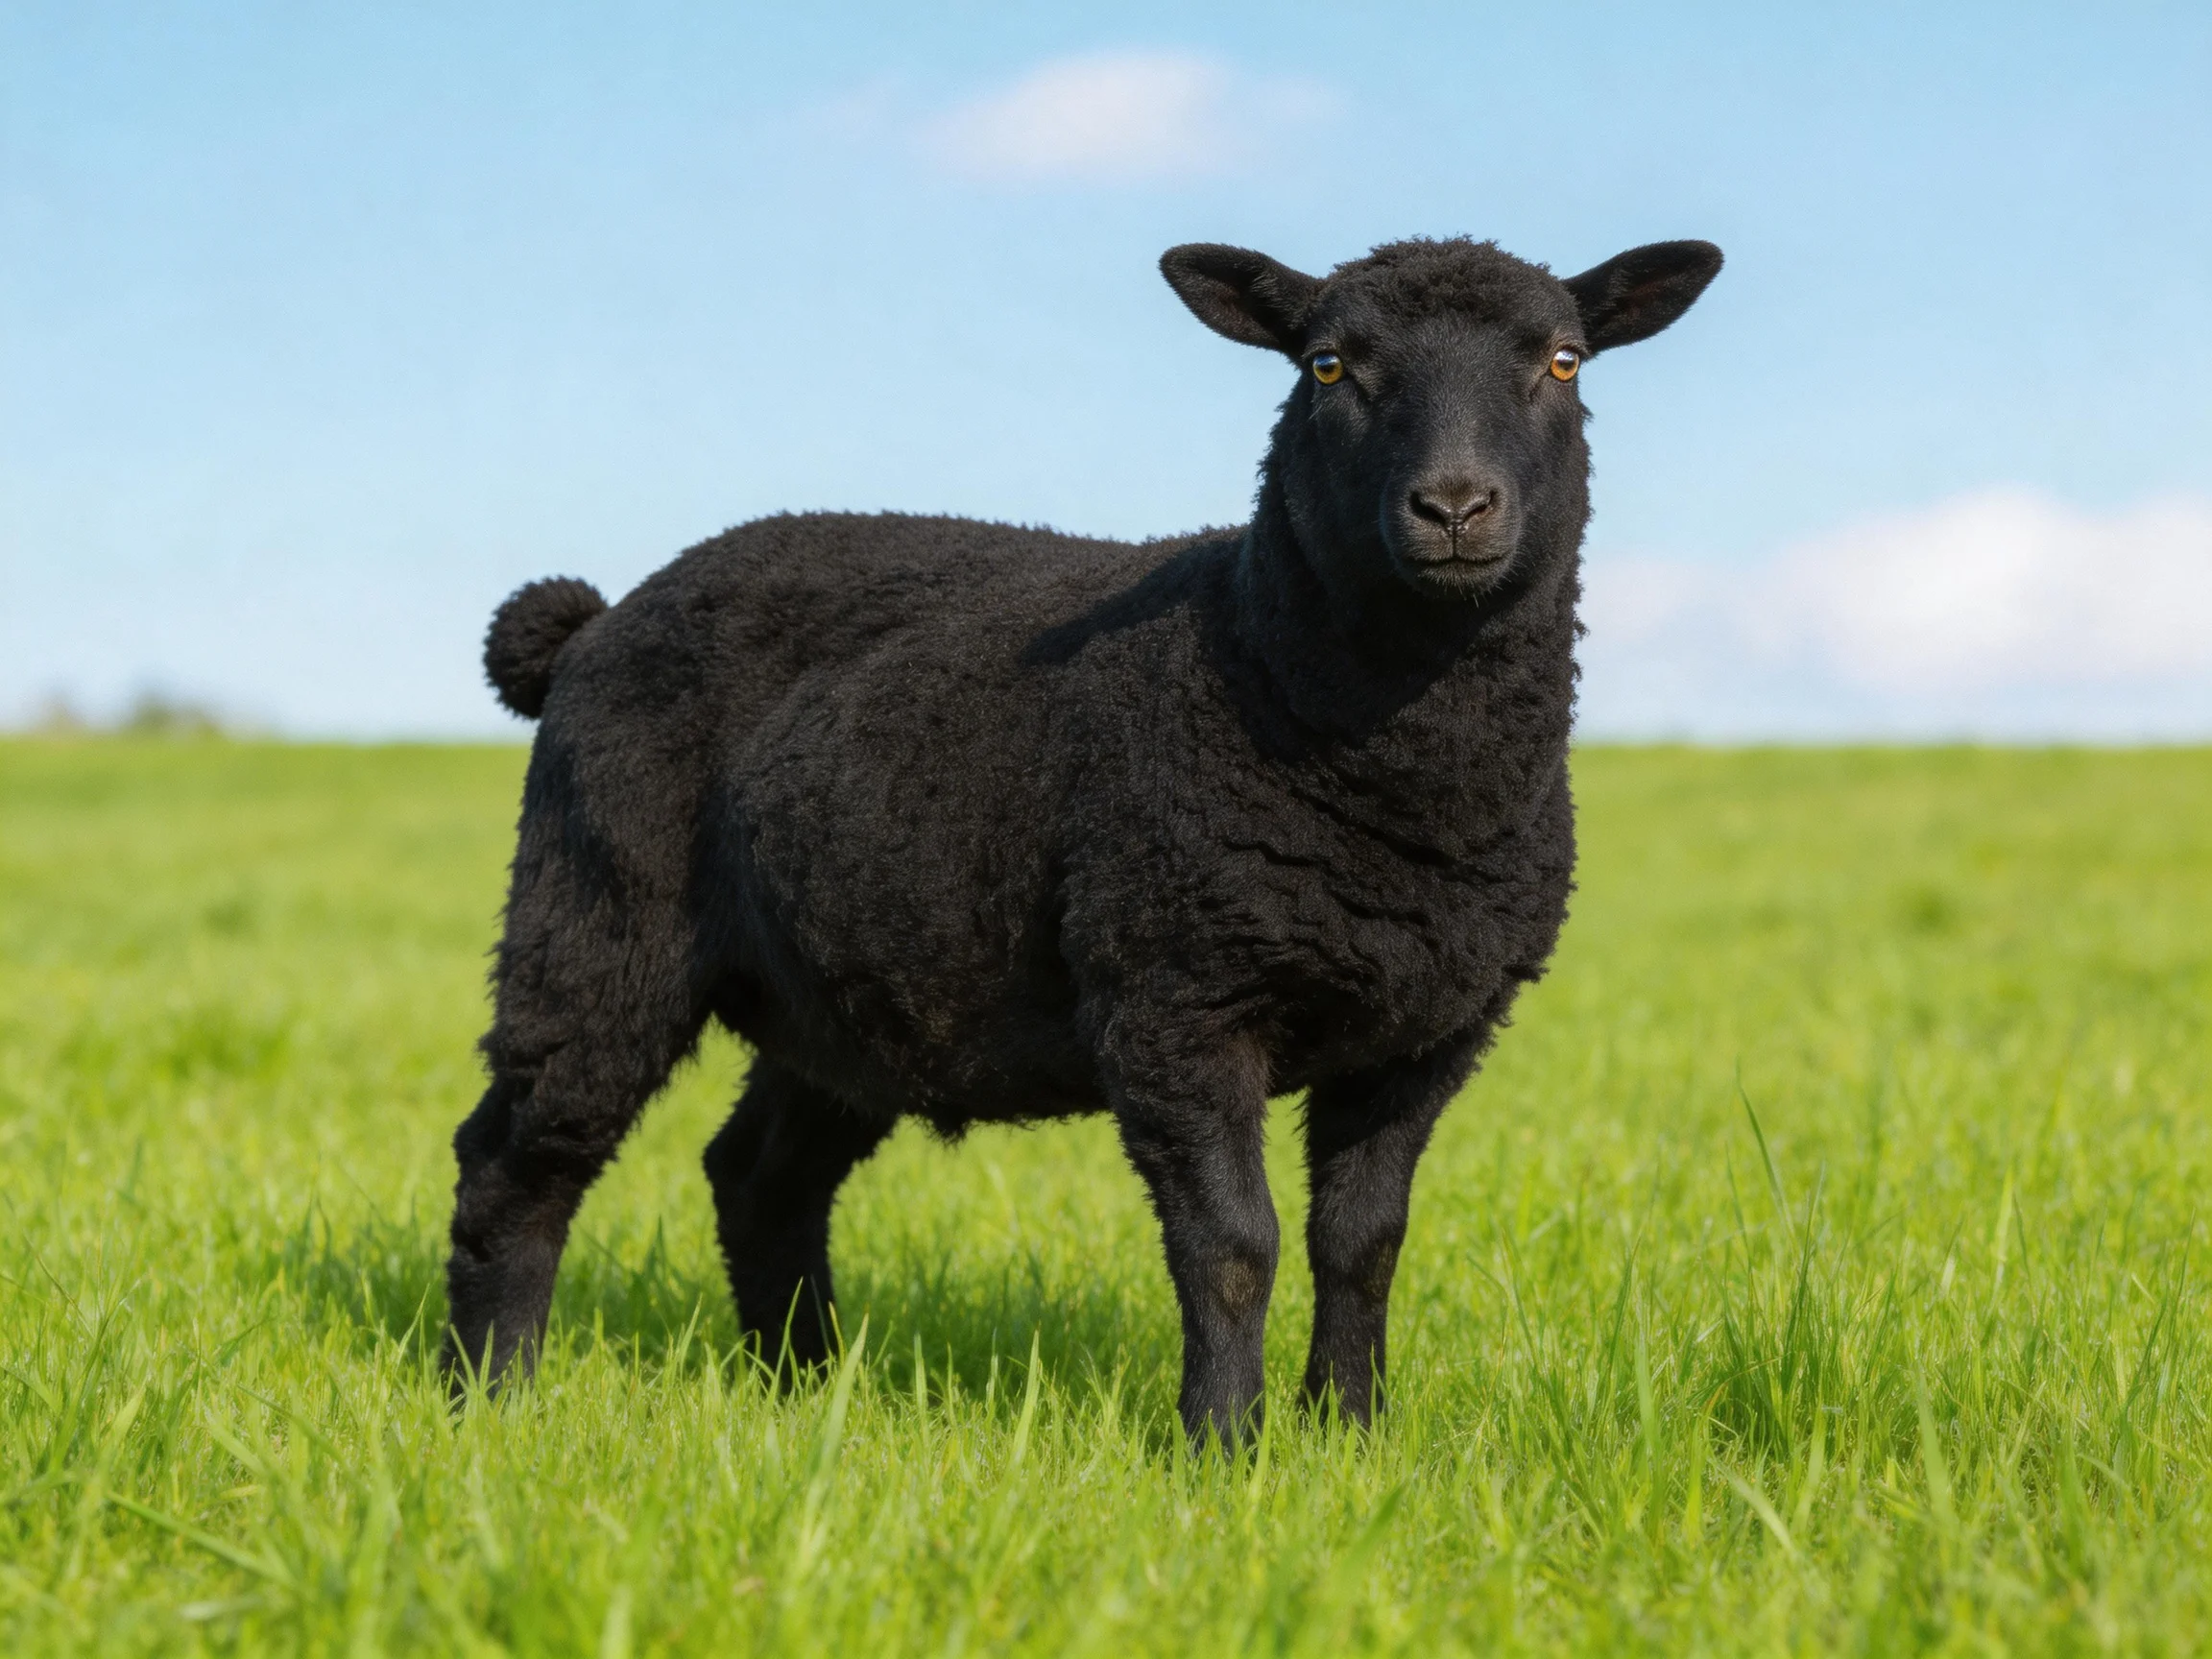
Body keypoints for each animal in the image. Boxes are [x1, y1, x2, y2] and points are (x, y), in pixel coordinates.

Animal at [444, 234, 1722, 1445]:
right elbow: (1234, 1245)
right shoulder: (1175, 996)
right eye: (1327, 366)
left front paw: (1352, 1438)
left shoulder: (1431, 1028)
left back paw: (804, 1390)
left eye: (1563, 362)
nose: (1454, 509)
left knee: (760, 1177)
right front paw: (1226, 1449)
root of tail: (595, 622)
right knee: (519, 1159)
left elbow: (1363, 1243)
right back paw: (491, 1397)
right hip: (598, 908)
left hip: (846, 993)